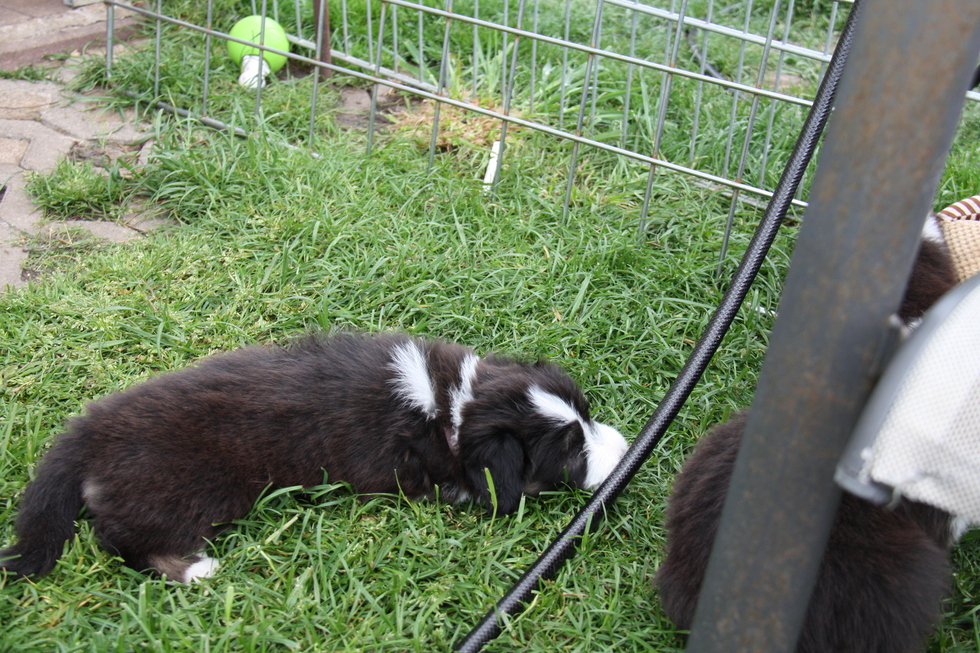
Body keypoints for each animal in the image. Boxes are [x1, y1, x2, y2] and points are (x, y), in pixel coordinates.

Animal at [0, 331, 628, 583]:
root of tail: (90, 431)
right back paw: (195, 568)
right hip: (184, 491)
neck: (451, 405)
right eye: (570, 449)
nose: (625, 451)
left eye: (586, 413)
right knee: (121, 539)